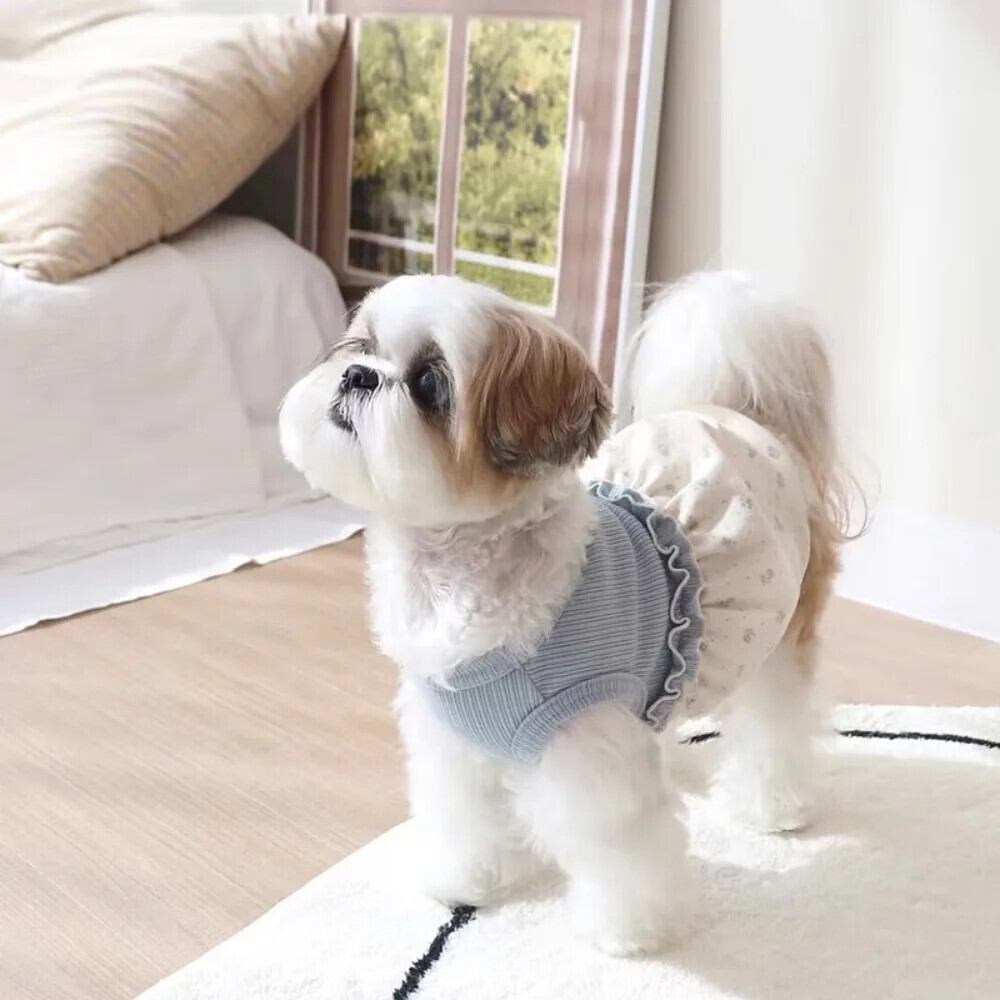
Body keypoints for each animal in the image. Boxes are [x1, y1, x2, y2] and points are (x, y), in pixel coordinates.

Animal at [279, 271, 854, 955]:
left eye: (430, 384)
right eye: (358, 347)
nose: (358, 376)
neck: (458, 577)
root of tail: (746, 416)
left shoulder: (591, 749)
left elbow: (621, 845)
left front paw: (630, 931)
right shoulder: (452, 740)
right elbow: (462, 814)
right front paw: (466, 879)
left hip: (776, 634)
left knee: (776, 722)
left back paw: (773, 807)